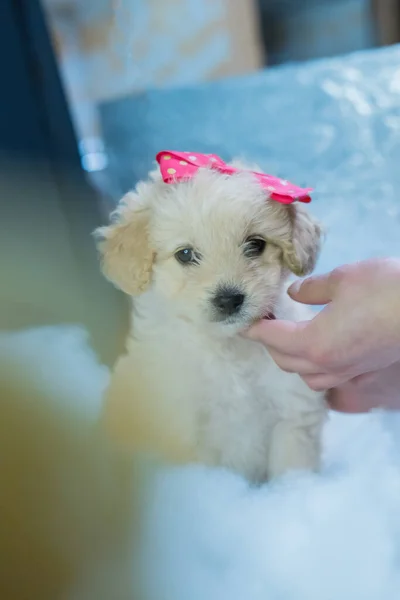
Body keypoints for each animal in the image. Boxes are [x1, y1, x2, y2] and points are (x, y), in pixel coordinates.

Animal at [95, 159, 326, 482]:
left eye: (255, 245)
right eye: (185, 254)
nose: (229, 299)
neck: (227, 346)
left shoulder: (292, 416)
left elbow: (291, 469)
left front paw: (293, 491)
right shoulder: (184, 434)